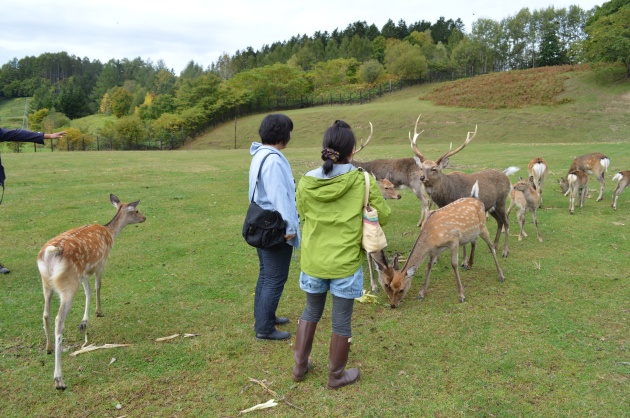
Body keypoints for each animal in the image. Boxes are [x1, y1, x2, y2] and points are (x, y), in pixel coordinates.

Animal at [39, 194, 147, 390]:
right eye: (136, 210)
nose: (144, 217)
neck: (110, 233)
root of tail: (50, 254)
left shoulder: (83, 273)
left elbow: (88, 291)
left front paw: (84, 321)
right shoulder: (101, 262)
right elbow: (97, 287)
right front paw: (98, 312)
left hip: (46, 283)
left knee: (45, 314)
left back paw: (48, 347)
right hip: (68, 284)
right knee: (59, 320)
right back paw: (59, 379)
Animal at [372, 196, 506, 306]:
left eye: (401, 289)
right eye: (390, 286)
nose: (393, 305)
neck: (430, 237)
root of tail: (481, 202)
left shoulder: (454, 240)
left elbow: (454, 264)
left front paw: (461, 295)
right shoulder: (434, 250)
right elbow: (429, 265)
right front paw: (421, 293)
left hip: (483, 226)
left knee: (491, 247)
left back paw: (501, 275)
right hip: (473, 233)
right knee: (475, 241)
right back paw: (469, 264)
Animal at [410, 114, 520, 258]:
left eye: (434, 169)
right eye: (421, 168)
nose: (422, 177)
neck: (447, 197)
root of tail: (506, 176)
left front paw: (464, 259)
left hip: (501, 200)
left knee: (506, 221)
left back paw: (505, 251)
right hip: (491, 206)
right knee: (500, 221)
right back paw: (494, 246)